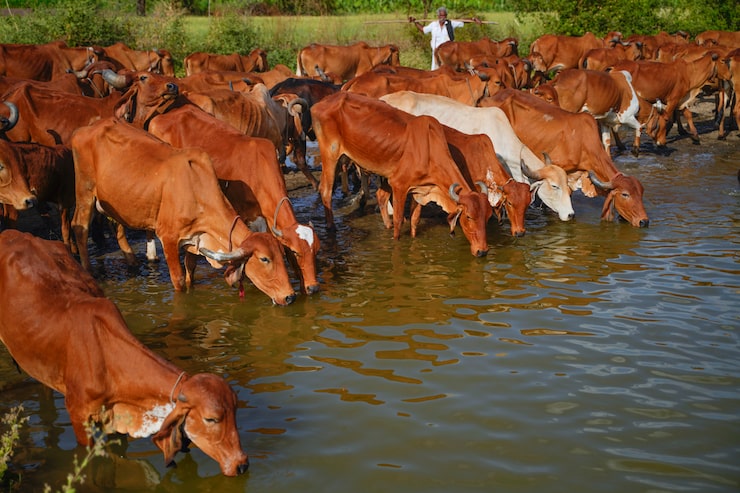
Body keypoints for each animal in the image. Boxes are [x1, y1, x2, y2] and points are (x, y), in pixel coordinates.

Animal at [0, 229, 249, 476]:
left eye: (235, 412)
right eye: (211, 419)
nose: (242, 464)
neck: (106, 358)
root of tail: (12, 233)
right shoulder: (79, 417)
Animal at [71, 117, 296, 305]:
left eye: (283, 254)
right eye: (264, 259)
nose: (290, 296)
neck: (197, 189)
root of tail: (86, 128)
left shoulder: (194, 240)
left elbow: (191, 272)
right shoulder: (168, 237)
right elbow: (178, 280)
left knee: (115, 225)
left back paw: (132, 261)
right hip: (84, 191)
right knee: (80, 227)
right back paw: (89, 270)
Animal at [311, 92, 492, 257]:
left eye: (488, 216)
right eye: (468, 217)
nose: (482, 251)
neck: (429, 150)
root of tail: (323, 101)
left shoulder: (420, 189)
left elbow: (414, 219)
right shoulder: (399, 186)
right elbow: (399, 221)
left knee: (379, 195)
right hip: (330, 154)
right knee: (325, 190)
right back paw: (331, 227)